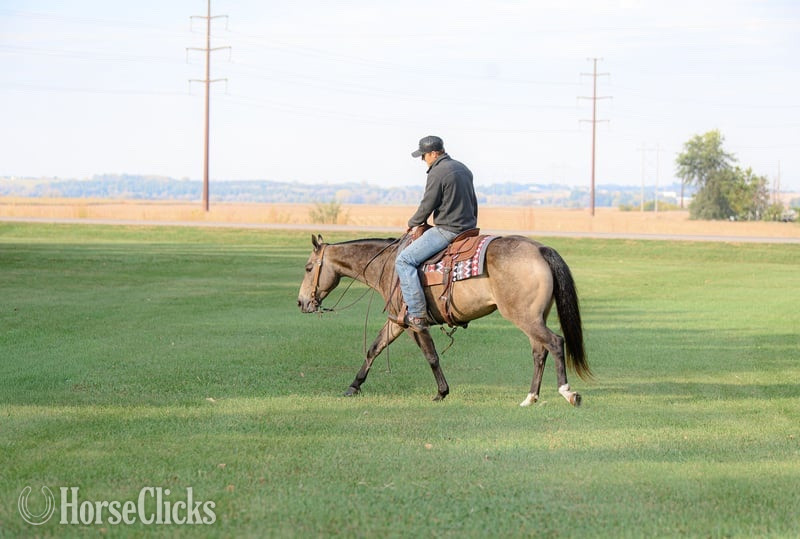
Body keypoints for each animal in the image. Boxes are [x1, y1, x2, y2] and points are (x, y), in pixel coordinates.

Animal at [297, 233, 591, 406]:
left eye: (309, 268)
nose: (301, 302)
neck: (389, 265)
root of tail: (540, 249)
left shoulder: (413, 322)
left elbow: (431, 356)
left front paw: (441, 391)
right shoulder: (397, 321)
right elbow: (374, 348)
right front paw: (353, 386)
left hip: (525, 317)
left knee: (555, 342)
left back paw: (567, 392)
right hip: (533, 317)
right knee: (539, 352)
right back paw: (530, 397)